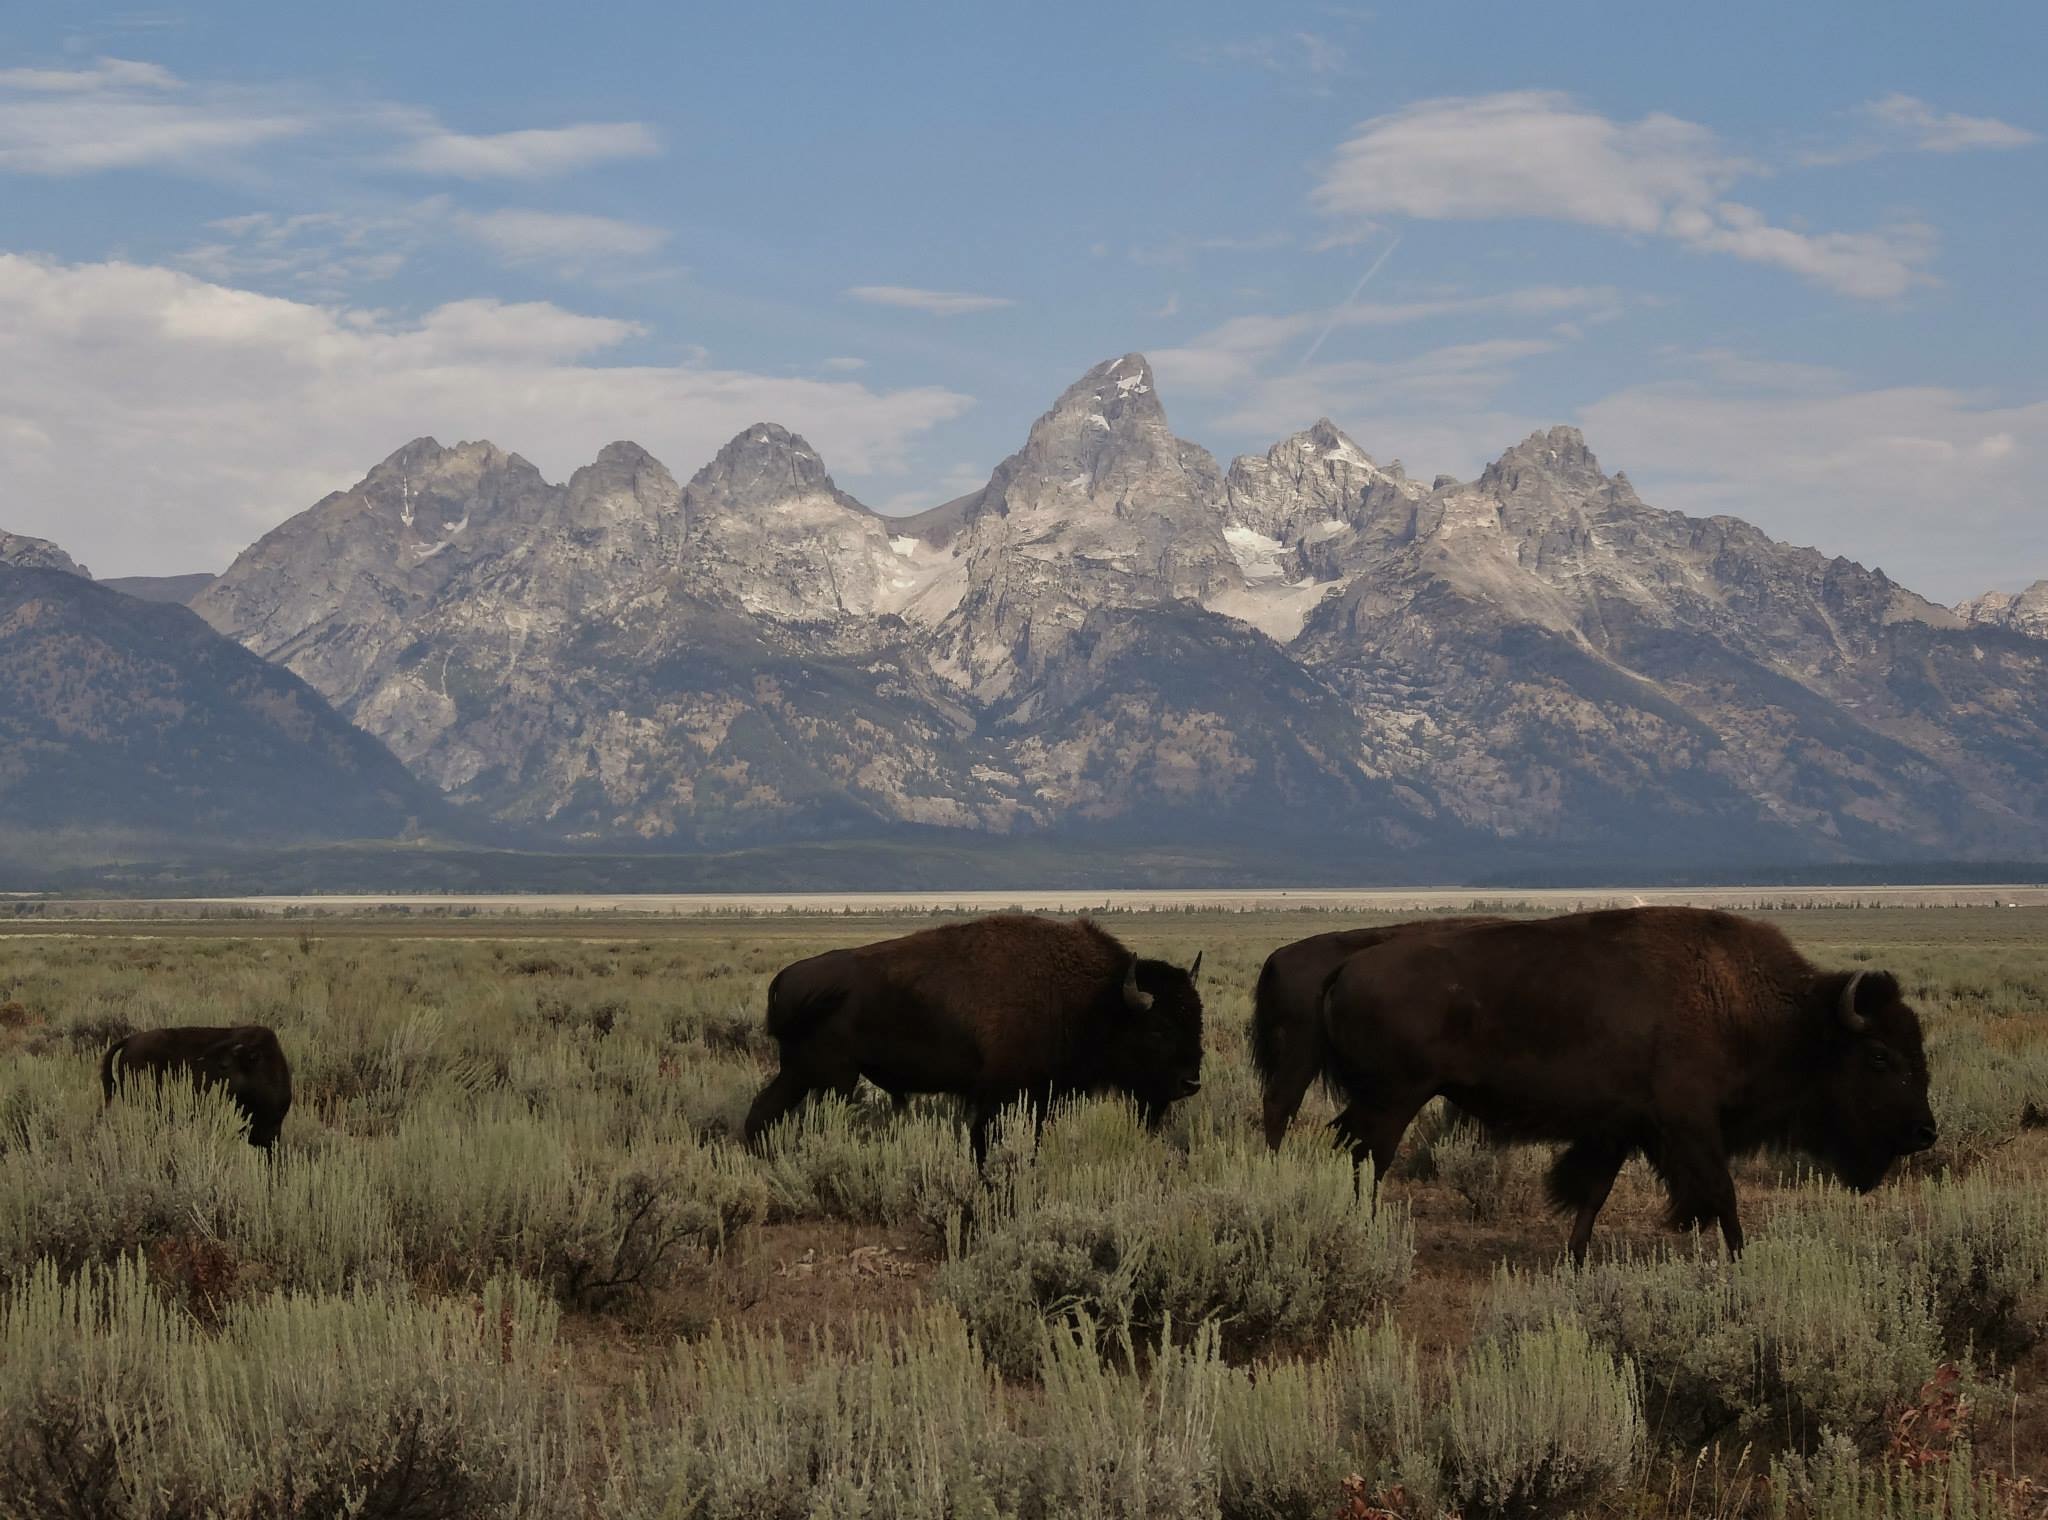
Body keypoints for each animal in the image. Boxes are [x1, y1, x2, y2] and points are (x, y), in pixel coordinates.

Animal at [742, 914, 1204, 1160]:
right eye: (1158, 1027)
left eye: (1198, 1021)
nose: (1190, 1082)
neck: (1097, 1000)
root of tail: (787, 978)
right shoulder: (1000, 1096)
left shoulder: (1041, 1097)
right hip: (833, 1077)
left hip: (800, 1072)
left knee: (763, 1110)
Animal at [1309, 907, 1935, 1260]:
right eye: (1879, 1056)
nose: (1926, 1132)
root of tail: (1346, 970)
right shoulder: (1688, 1124)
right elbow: (1721, 1193)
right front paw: (1741, 1259)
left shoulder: (1619, 1129)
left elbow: (1593, 1193)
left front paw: (1575, 1258)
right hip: (1393, 1101)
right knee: (1366, 1160)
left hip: (1377, 1103)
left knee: (1351, 1153)